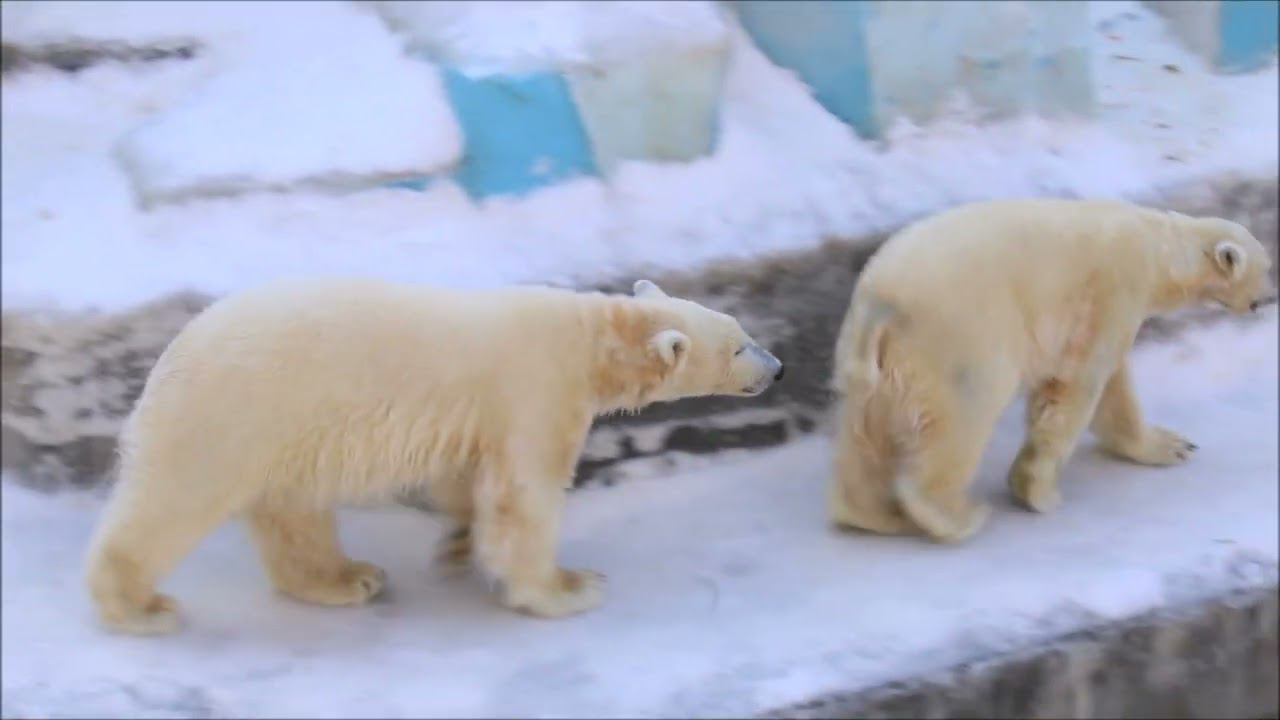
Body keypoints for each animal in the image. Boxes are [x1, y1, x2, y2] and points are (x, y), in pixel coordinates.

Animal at [85, 278, 778, 630]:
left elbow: (470, 481)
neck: (592, 336)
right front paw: (570, 587)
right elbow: (524, 497)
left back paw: (348, 578)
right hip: (232, 415)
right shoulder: (537, 389)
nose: (776, 366)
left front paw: (458, 543)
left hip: (286, 434)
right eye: (739, 345)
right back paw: (141, 606)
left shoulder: (486, 418)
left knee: (294, 514)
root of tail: (170, 358)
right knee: (174, 501)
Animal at [824, 196, 1274, 538]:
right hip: (957, 340)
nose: (1271, 297)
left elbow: (1111, 388)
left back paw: (874, 515)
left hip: (873, 362)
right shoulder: (1113, 291)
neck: (1157, 247)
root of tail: (880, 303)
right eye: (1268, 268)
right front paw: (1038, 492)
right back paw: (956, 516)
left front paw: (1172, 444)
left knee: (865, 431)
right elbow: (1078, 384)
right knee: (964, 415)